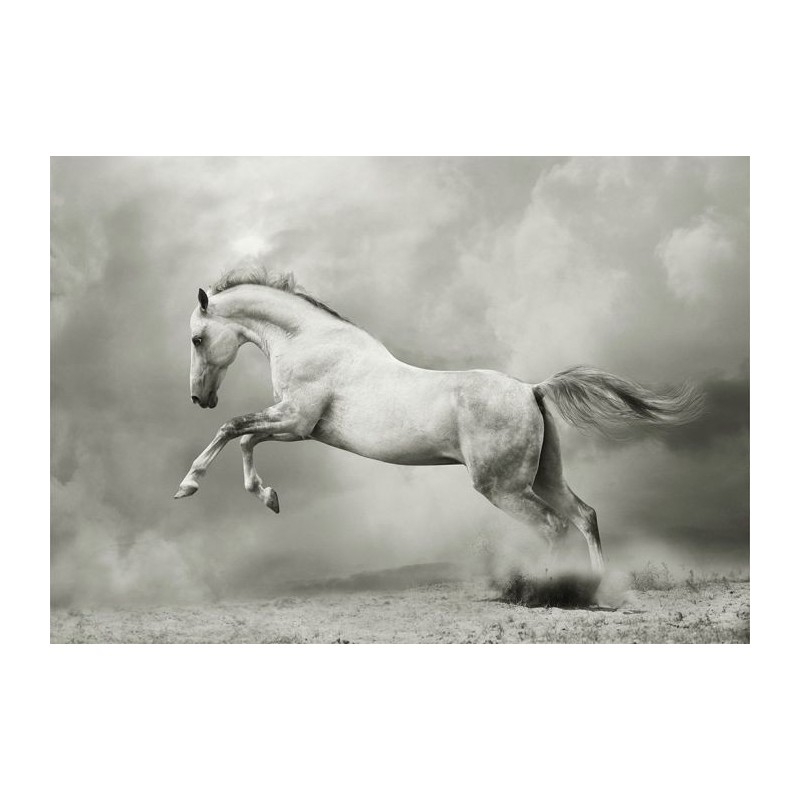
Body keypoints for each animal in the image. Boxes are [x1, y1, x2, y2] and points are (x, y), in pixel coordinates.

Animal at [174, 265, 703, 574]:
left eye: (198, 338)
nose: (199, 398)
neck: (309, 340)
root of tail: (531, 390)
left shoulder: (296, 422)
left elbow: (233, 430)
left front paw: (189, 485)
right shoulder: (293, 426)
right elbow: (244, 439)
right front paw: (270, 498)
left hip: (503, 487)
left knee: (554, 526)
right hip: (544, 476)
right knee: (584, 516)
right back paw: (595, 588)